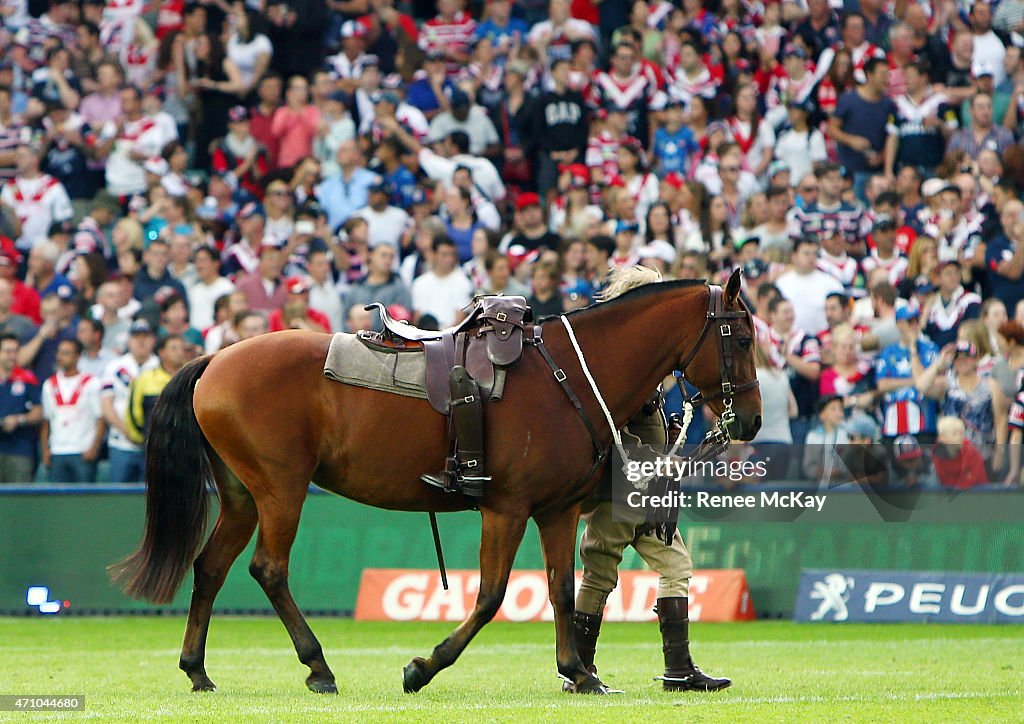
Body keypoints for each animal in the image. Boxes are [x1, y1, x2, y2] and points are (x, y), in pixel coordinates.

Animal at [110, 270, 761, 696]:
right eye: (744, 338)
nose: (751, 420)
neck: (568, 375)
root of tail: (214, 360)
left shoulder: (555, 511)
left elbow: (560, 590)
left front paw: (579, 672)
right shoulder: (506, 508)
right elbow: (492, 596)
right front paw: (424, 666)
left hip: (244, 497)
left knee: (210, 568)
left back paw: (197, 669)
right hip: (280, 491)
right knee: (267, 570)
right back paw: (318, 666)